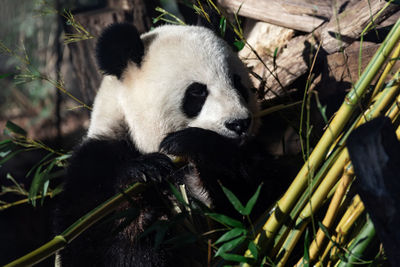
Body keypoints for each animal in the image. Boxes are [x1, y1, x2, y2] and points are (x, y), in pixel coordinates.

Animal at [53, 22, 280, 266]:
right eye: (197, 91)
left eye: (239, 85)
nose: (239, 123)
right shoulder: (93, 167)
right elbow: (91, 242)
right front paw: (144, 174)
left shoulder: (251, 158)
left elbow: (255, 206)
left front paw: (191, 143)